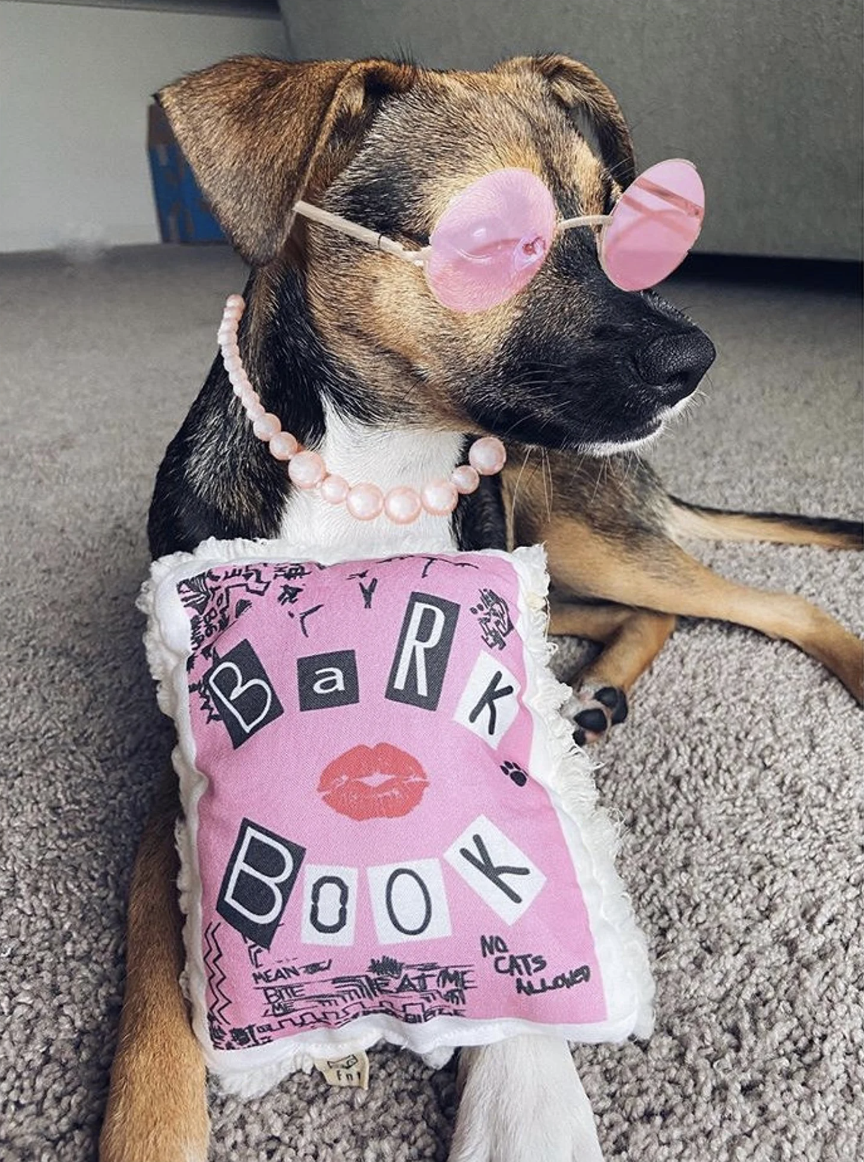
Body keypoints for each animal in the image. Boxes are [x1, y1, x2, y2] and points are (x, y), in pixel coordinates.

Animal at [99, 52, 859, 1162]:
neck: (373, 466)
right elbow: (156, 1001)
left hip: (573, 529)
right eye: (491, 239)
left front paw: (525, 1099)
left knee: (781, 608)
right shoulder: (180, 775)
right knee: (632, 619)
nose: (697, 364)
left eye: (617, 216)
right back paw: (595, 698)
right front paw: (149, 1124)